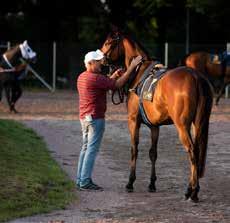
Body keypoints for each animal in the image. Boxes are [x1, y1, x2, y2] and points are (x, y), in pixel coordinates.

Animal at [101, 30, 213, 202]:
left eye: (108, 43)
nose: (101, 61)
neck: (139, 72)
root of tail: (196, 77)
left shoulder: (133, 121)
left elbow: (134, 149)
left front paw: (130, 182)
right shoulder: (155, 126)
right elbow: (153, 153)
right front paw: (152, 183)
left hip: (182, 126)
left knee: (192, 151)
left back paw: (192, 191)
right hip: (198, 123)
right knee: (197, 151)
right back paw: (193, 190)